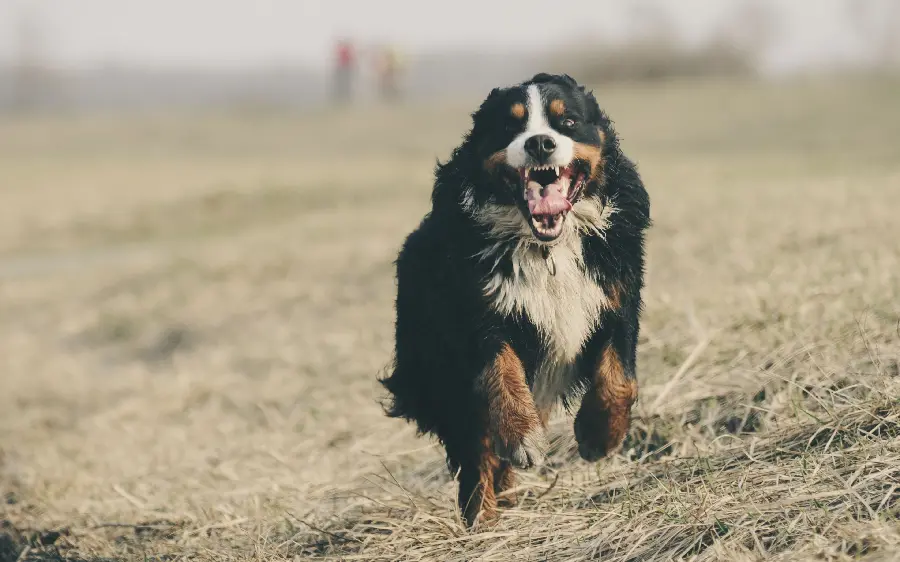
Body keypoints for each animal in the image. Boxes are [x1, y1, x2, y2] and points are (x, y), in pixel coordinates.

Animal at [378, 71, 648, 524]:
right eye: (510, 126)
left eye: (567, 122)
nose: (540, 143)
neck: (547, 248)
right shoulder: (478, 312)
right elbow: (501, 374)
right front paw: (522, 437)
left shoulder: (617, 295)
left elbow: (620, 378)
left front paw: (598, 435)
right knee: (475, 450)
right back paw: (483, 516)